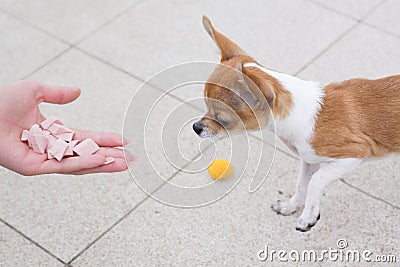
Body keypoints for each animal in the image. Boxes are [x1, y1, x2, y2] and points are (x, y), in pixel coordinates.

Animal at [192, 16, 398, 232]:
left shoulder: (355, 153)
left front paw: (308, 216)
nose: (196, 127)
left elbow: (315, 182)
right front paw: (291, 206)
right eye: (205, 106)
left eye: (222, 119)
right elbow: (302, 185)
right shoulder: (309, 160)